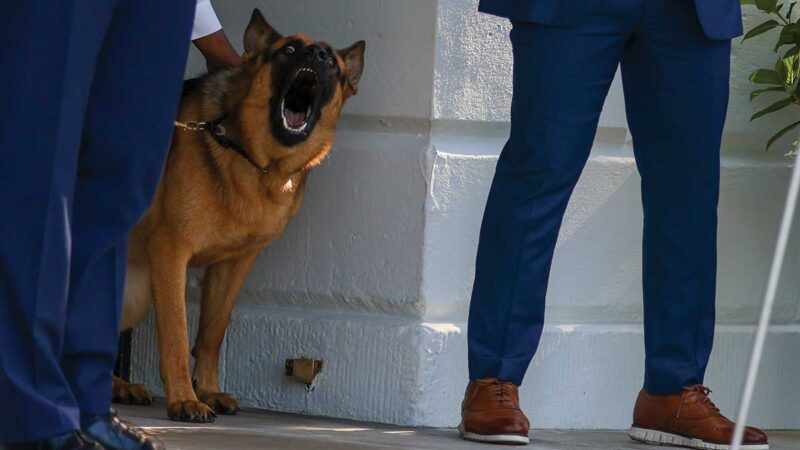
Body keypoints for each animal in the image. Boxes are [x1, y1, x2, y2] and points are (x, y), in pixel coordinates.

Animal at [110, 11, 366, 426]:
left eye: (331, 61)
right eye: (288, 50)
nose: (315, 54)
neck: (259, 163)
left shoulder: (235, 264)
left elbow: (212, 332)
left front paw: (208, 390)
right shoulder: (171, 253)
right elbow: (178, 333)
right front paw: (184, 399)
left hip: (135, 294)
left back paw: (117, 386)